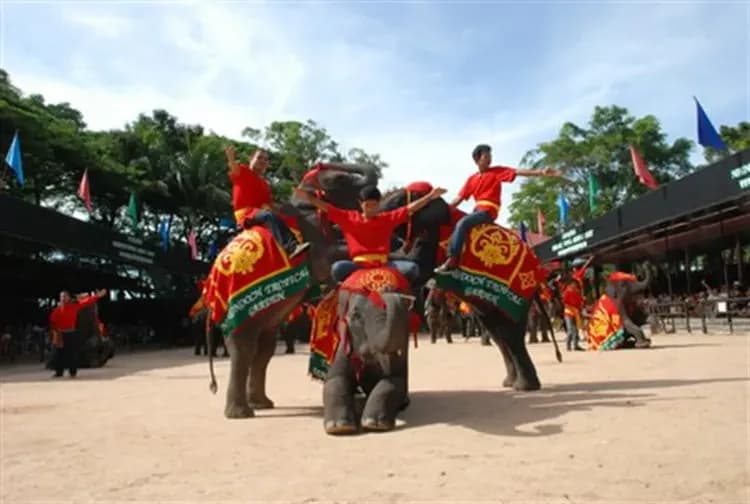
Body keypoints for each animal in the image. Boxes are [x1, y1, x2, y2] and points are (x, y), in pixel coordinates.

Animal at [323, 287, 415, 435]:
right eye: (356, 316)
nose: (387, 290)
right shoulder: (344, 346)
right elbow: (335, 379)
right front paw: (340, 427)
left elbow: (394, 381)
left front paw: (374, 424)